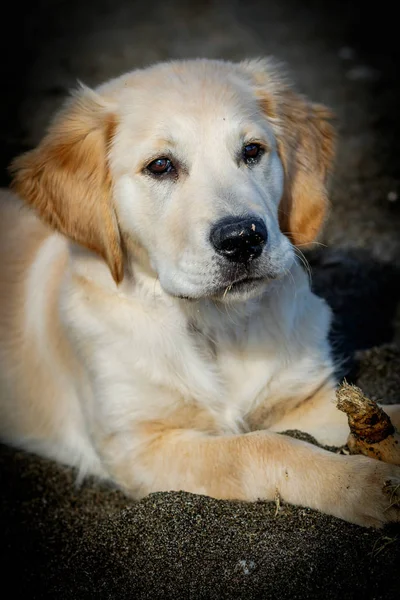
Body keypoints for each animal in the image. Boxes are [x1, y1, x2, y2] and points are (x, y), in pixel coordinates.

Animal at [0, 57, 398, 524]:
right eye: (160, 166)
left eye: (252, 151)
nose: (243, 238)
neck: (216, 325)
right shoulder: (139, 445)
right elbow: (262, 447)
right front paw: (366, 485)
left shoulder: (304, 402)